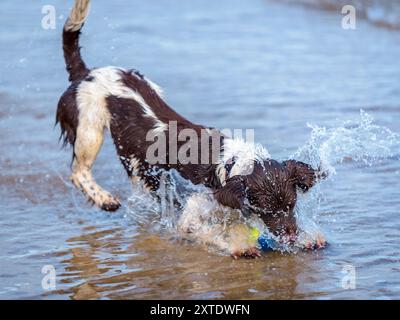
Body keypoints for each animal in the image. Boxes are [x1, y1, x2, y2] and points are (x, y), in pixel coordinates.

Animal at [57, 0, 324, 255]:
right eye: (267, 210)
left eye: (291, 205)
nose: (290, 236)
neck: (226, 164)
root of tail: (87, 73)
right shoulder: (192, 208)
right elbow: (204, 230)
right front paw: (238, 246)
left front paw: (306, 239)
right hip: (89, 129)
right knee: (78, 171)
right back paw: (104, 199)